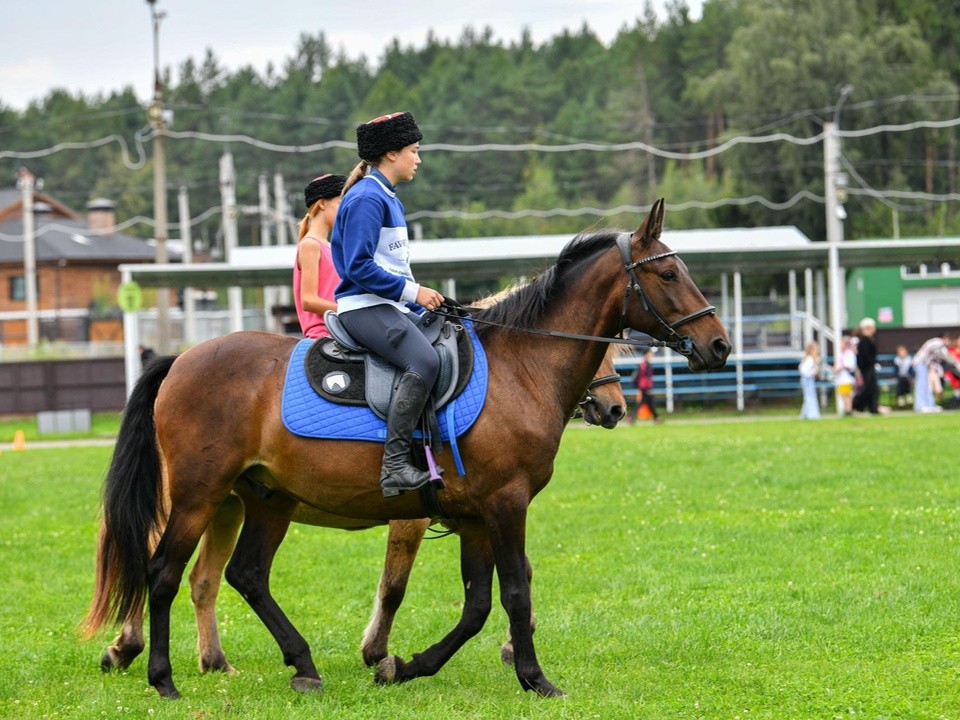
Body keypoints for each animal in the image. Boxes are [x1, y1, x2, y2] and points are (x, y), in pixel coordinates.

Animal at [95, 344, 624, 676]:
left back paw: (218, 661)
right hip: (191, 501)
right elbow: (395, 587)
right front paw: (378, 653)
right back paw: (127, 647)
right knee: (147, 562)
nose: (614, 407)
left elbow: (515, 579)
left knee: (206, 578)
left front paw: (514, 646)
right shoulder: (427, 515)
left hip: (235, 505)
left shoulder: (480, 514)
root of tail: (181, 359)